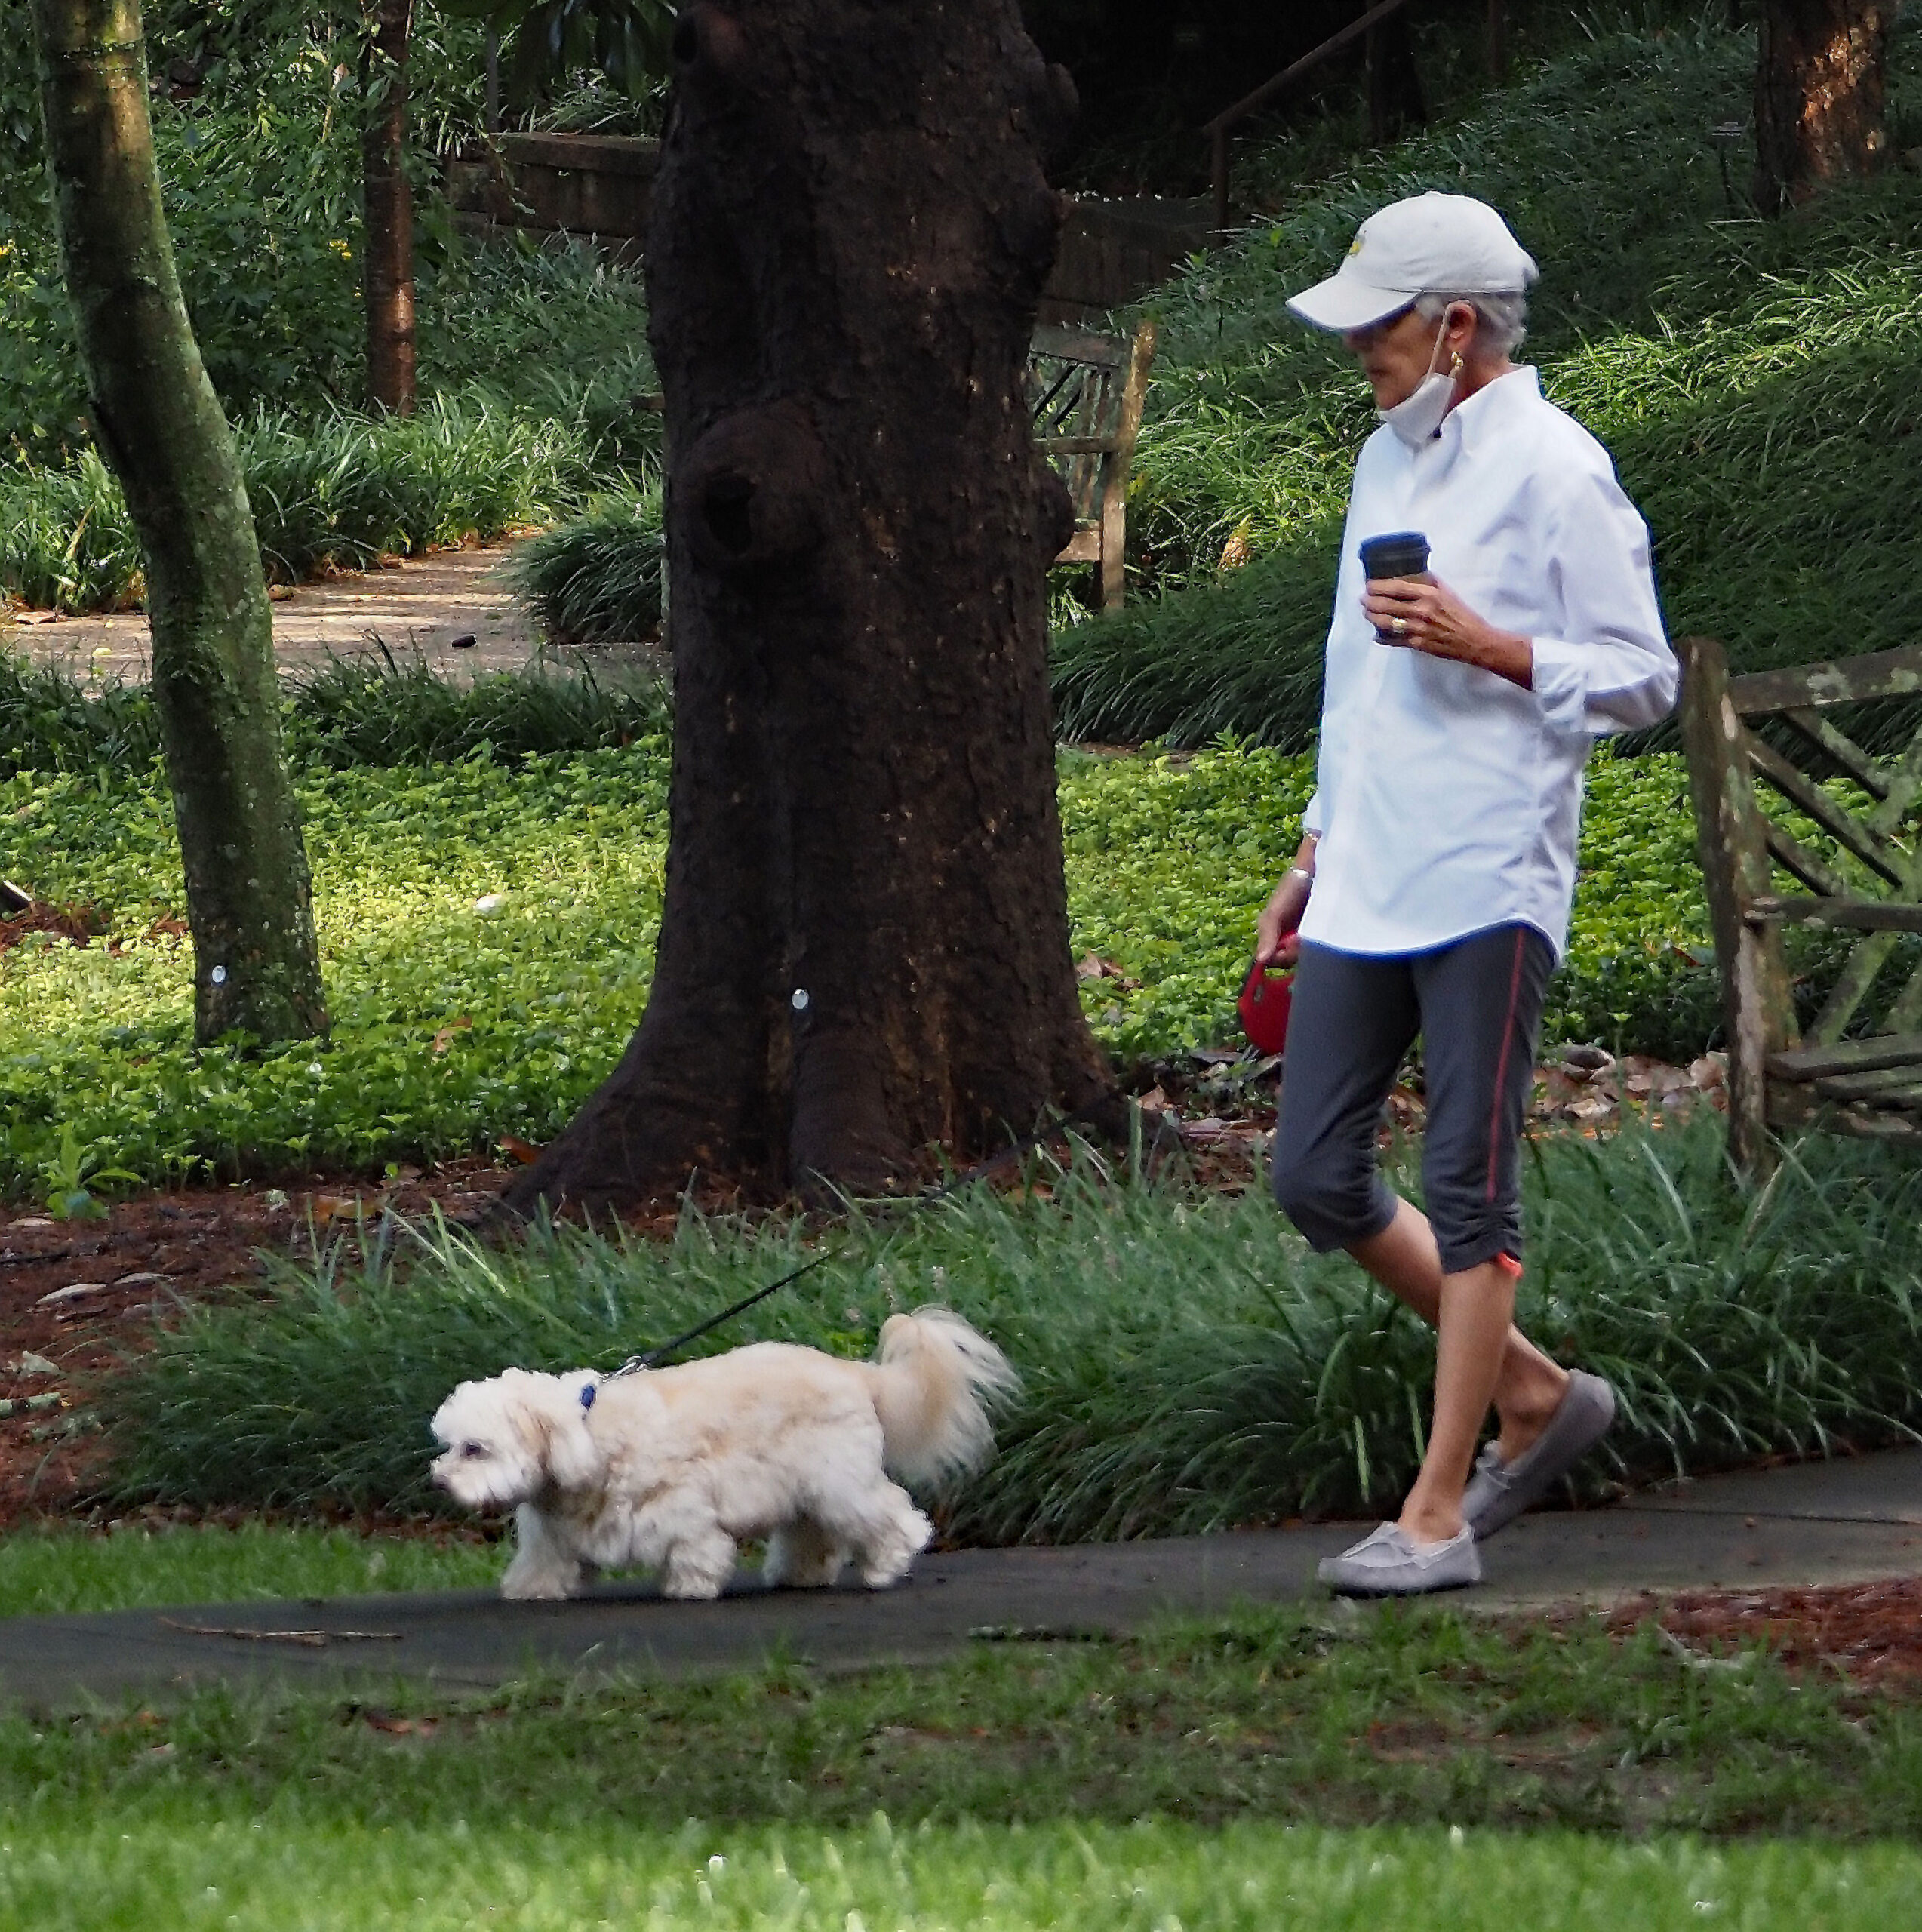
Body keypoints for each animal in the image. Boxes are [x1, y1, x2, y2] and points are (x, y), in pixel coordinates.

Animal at [426, 1313, 1012, 1599]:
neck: (585, 1433)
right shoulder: (554, 1531)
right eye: (448, 1447)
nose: (440, 1481)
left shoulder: (676, 1508)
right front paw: (531, 1591)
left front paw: (690, 1587)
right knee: (813, 1538)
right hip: (806, 1495)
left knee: (893, 1520)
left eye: (475, 1449)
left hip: (840, 1485)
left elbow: (695, 1549)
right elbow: (546, 1562)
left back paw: (885, 1567)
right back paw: (799, 1576)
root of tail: (857, 1373)